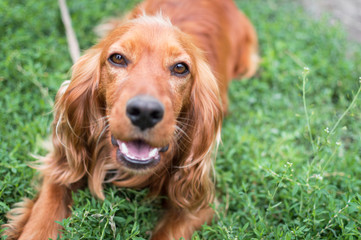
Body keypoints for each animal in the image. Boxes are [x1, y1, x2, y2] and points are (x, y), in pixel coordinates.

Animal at [2, 0, 256, 239]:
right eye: (117, 58)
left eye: (180, 68)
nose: (144, 112)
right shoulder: (63, 163)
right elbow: (47, 207)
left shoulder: (200, 203)